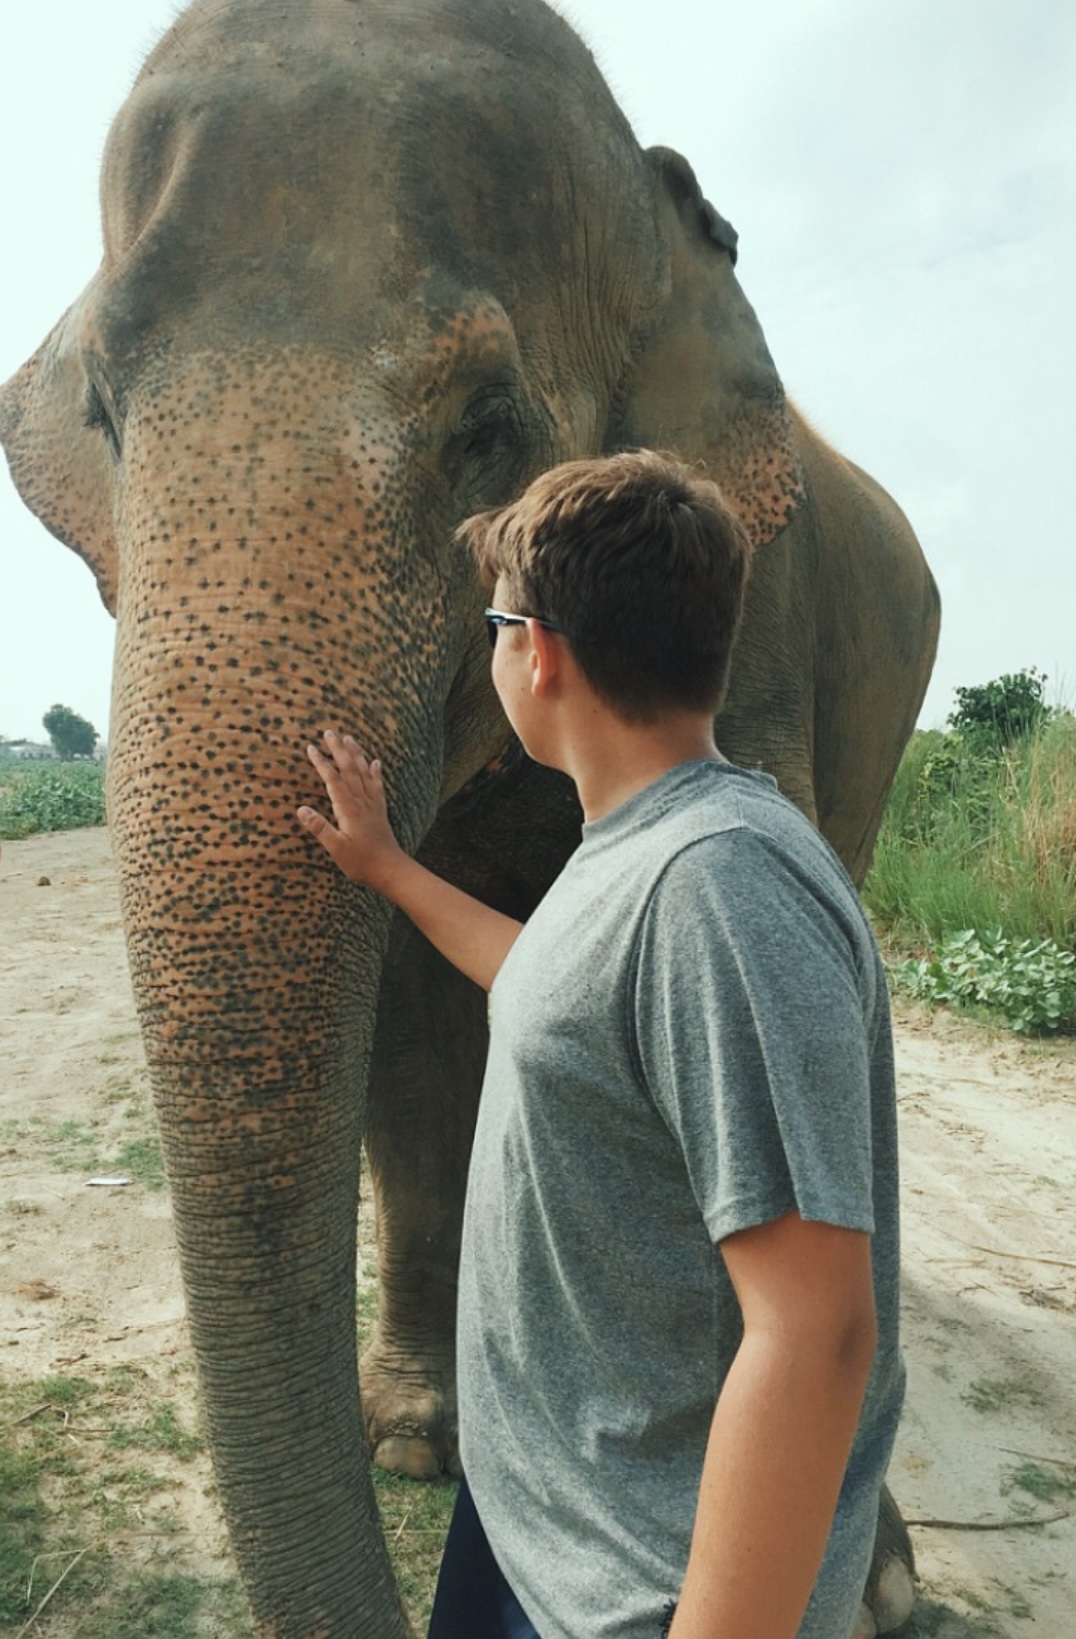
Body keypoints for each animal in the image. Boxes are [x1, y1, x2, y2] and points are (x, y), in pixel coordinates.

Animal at [0, 0, 939, 1633]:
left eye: (491, 425)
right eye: (105, 413)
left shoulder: (761, 606)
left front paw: (863, 1571)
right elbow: (412, 1018)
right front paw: (416, 1439)